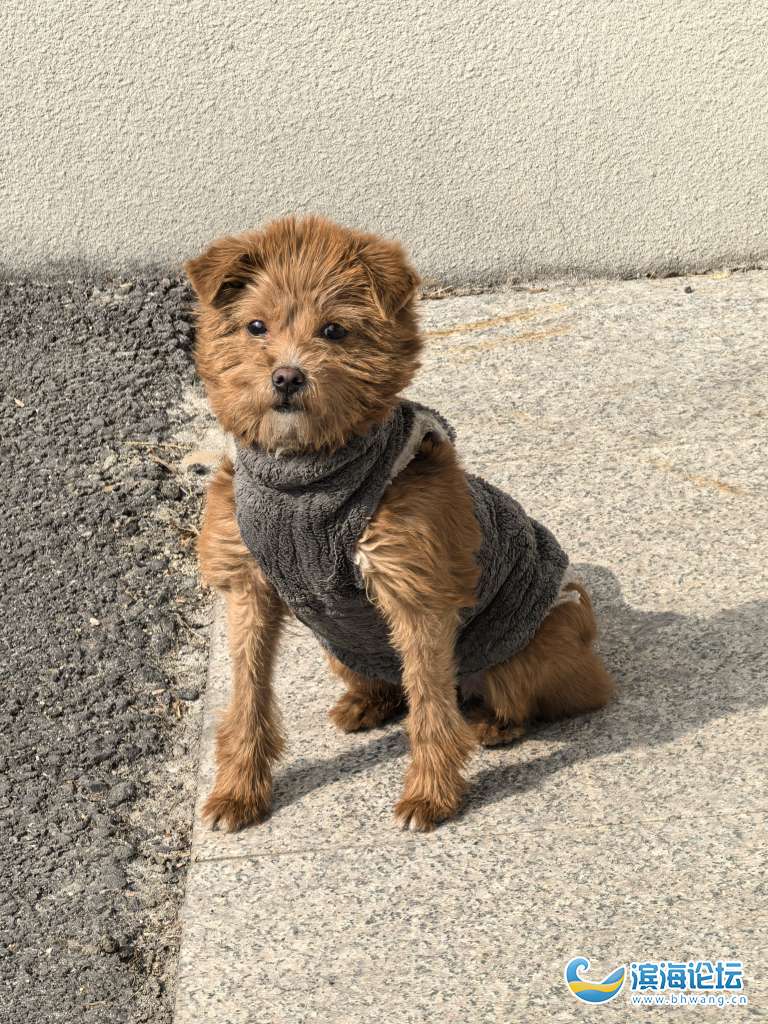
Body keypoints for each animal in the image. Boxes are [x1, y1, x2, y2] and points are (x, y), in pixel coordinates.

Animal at [185, 215, 614, 833]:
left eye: (335, 330)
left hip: (531, 645)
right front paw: (239, 792)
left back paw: (492, 725)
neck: (307, 476)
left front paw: (431, 796)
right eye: (255, 326)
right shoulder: (249, 584)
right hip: (339, 644)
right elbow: (247, 699)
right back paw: (365, 704)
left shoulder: (416, 590)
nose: (287, 377)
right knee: (391, 687)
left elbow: (431, 707)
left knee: (511, 699)